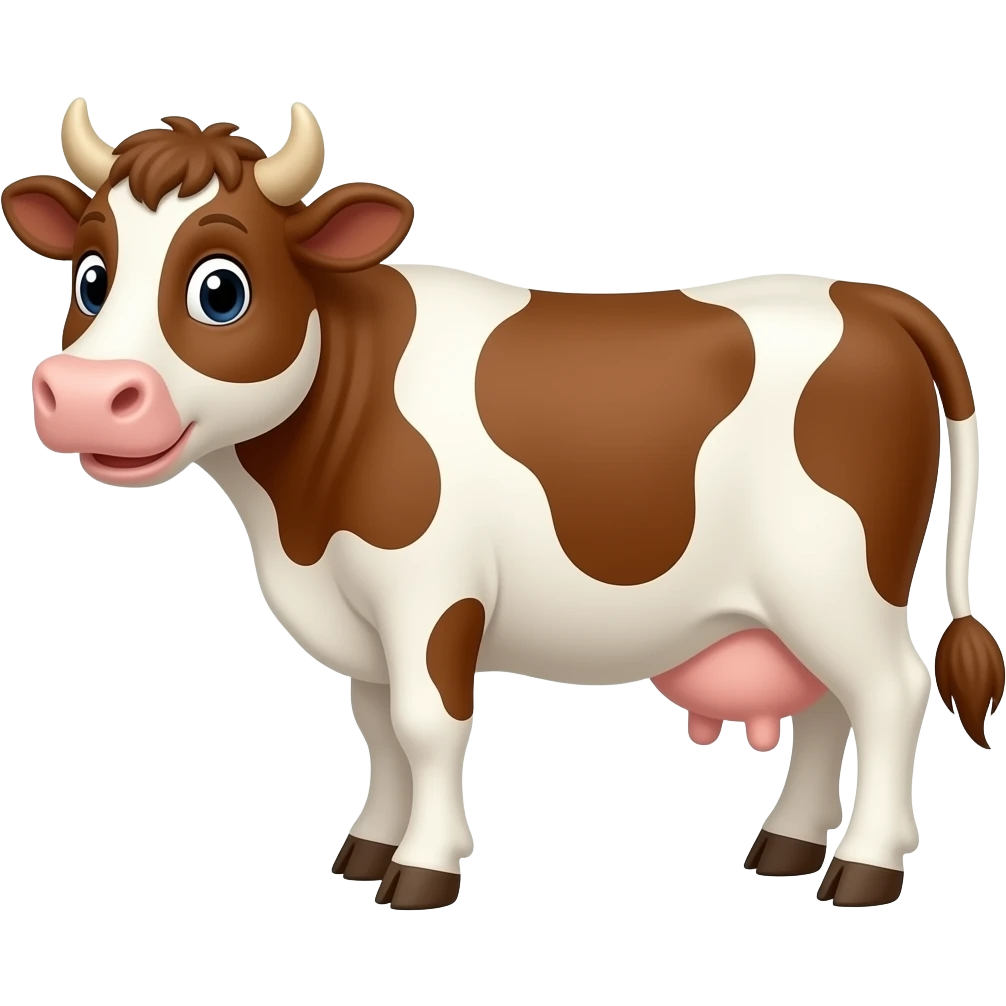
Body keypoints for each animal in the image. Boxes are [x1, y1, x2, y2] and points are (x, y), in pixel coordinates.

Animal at [8, 100, 1003, 912]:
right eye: (89, 276)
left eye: (221, 287)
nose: (84, 394)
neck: (297, 522)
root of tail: (869, 296)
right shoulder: (364, 616)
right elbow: (378, 729)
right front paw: (367, 850)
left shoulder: (429, 592)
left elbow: (425, 725)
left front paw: (423, 870)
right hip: (798, 600)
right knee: (830, 704)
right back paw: (788, 847)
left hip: (836, 577)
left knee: (890, 692)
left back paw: (863, 870)